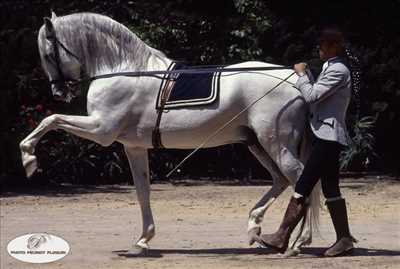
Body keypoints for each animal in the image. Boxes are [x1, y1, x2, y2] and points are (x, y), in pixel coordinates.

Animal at [19, 12, 322, 255]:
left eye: (48, 54)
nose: (59, 92)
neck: (124, 70)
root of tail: (296, 81)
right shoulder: (133, 147)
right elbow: (142, 192)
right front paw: (142, 241)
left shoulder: (100, 129)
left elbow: (51, 119)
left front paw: (28, 159)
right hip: (256, 144)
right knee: (282, 180)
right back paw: (257, 228)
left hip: (276, 145)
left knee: (301, 180)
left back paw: (296, 243)